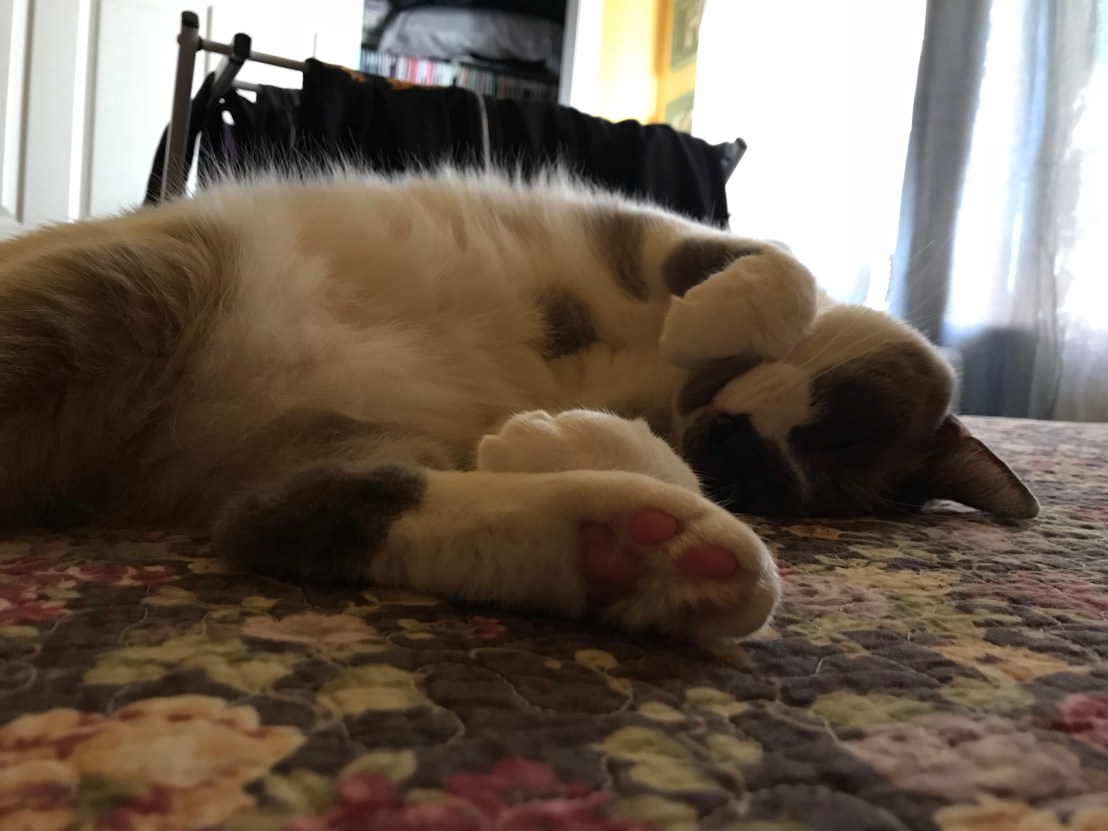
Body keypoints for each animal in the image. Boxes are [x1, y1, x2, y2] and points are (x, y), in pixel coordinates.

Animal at [0, 169, 1039, 643]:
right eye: (830, 424)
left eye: (781, 485)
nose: (733, 451)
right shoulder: (636, 236)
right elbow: (776, 270)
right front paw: (711, 321)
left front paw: (576, 445)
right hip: (136, 291)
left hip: (324, 435)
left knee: (282, 516)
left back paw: (652, 556)